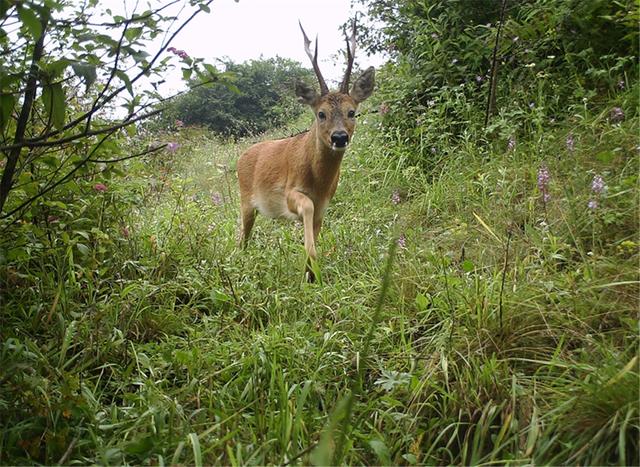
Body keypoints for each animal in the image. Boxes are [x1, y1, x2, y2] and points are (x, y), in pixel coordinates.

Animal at [236, 21, 376, 282]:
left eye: (352, 112)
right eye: (321, 113)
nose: (339, 137)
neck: (318, 182)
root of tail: (242, 156)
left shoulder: (323, 206)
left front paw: (309, 276)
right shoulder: (291, 192)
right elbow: (306, 210)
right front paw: (313, 265)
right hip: (245, 201)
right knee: (242, 236)